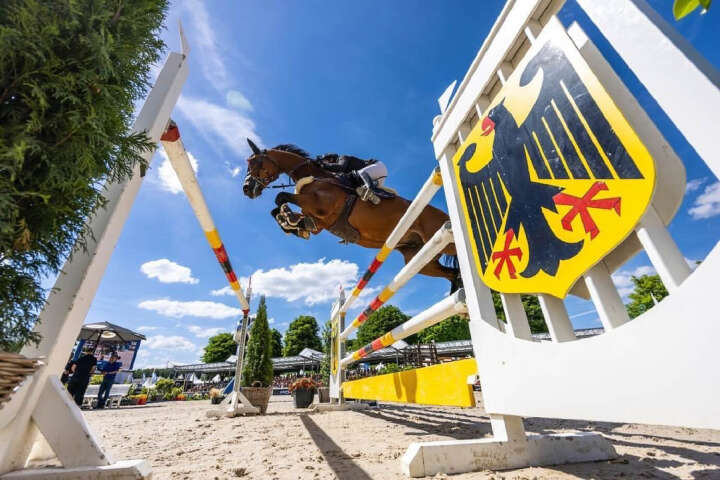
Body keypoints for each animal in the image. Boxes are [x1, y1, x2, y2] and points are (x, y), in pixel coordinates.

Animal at [241, 140, 459, 286]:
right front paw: (292, 224)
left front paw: (288, 217)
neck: (317, 177)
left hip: (445, 241)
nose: (246, 189)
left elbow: (280, 197)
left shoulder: (321, 206)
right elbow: (281, 210)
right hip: (419, 258)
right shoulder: (318, 222)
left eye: (255, 163)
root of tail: (445, 216)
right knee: (452, 274)